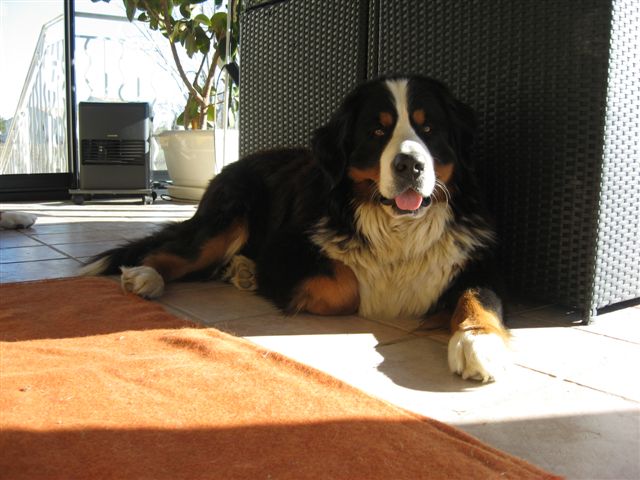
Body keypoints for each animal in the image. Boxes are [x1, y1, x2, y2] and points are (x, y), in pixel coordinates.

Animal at [82, 75, 510, 382]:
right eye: (377, 132)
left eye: (430, 129)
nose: (410, 165)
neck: (397, 226)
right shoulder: (287, 249)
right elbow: (346, 285)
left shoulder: (475, 262)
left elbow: (480, 297)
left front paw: (478, 341)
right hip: (228, 217)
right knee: (175, 251)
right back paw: (145, 275)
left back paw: (241, 270)